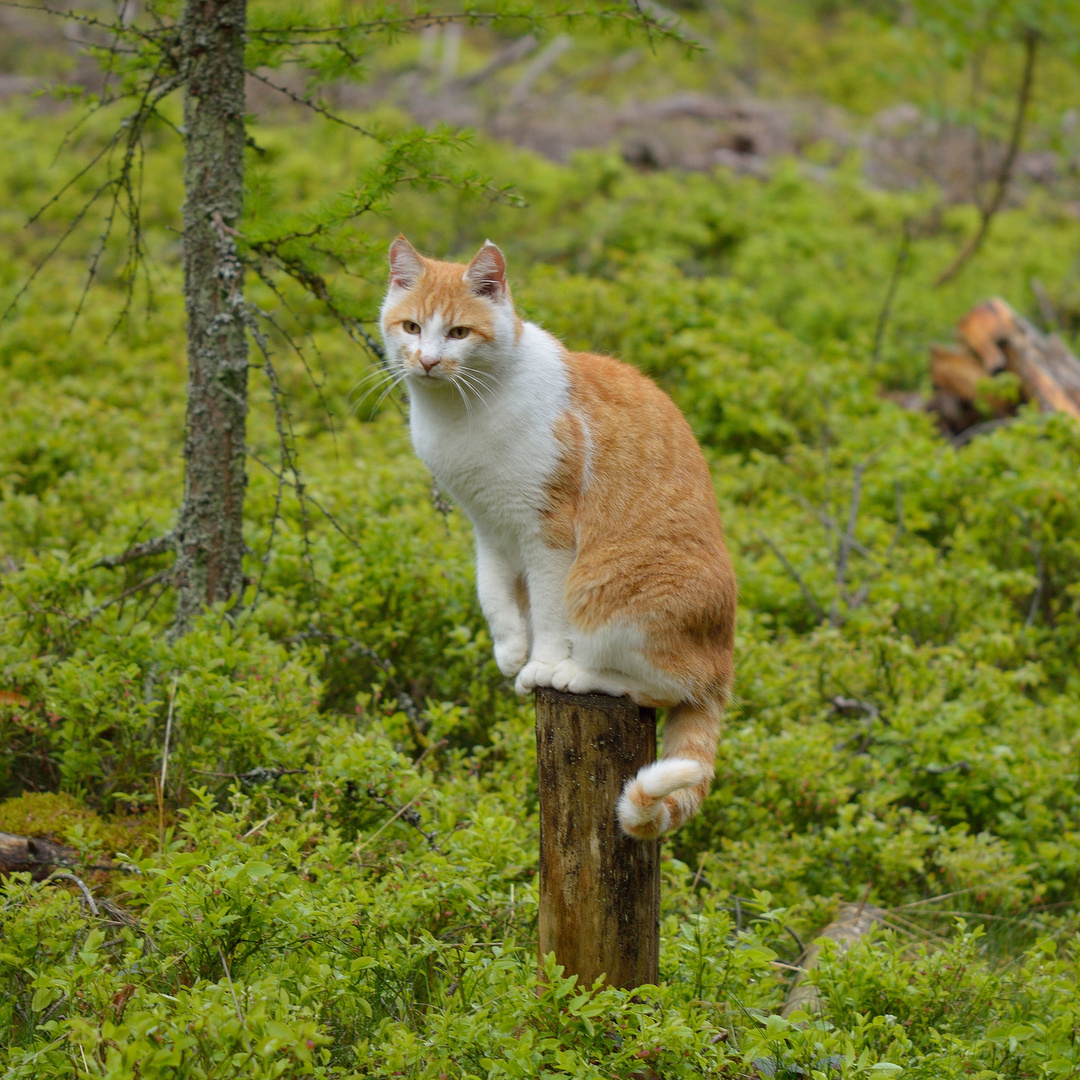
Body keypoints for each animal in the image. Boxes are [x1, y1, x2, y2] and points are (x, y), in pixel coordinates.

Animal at [375, 236, 738, 838]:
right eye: (411, 327)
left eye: (458, 333)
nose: (427, 360)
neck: (461, 413)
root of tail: (724, 664)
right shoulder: (489, 528)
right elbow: (493, 595)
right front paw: (509, 653)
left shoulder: (548, 534)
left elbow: (546, 610)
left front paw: (541, 663)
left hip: (605, 590)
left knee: (663, 685)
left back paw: (577, 674)